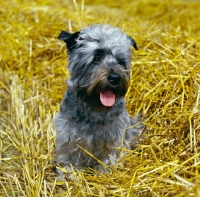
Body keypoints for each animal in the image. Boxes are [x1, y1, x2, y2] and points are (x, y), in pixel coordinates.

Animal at [54, 23, 143, 173]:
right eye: (96, 58)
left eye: (120, 62)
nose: (115, 78)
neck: (95, 109)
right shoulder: (68, 137)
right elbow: (69, 159)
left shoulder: (114, 137)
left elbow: (109, 157)